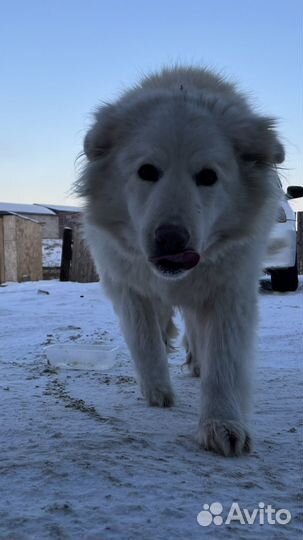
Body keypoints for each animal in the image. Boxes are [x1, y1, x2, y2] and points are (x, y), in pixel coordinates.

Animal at [76, 66, 284, 456]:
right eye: (147, 171)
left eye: (208, 176)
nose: (171, 239)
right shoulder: (126, 284)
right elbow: (144, 340)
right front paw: (157, 391)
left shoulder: (230, 289)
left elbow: (224, 360)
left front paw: (222, 424)